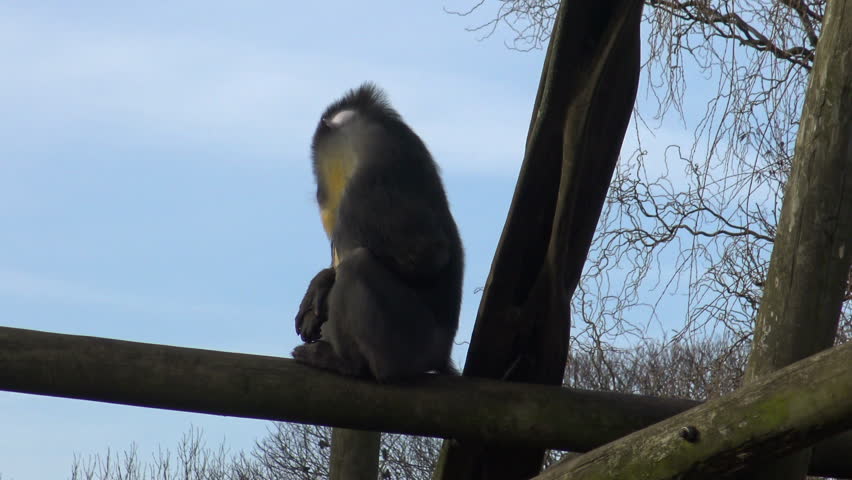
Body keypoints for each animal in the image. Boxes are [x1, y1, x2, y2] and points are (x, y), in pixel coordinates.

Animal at [292, 83, 464, 382]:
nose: (319, 193)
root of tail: (441, 355)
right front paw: (321, 282)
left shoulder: (368, 188)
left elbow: (429, 255)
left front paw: (325, 280)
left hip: (412, 340)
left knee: (357, 265)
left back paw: (349, 364)